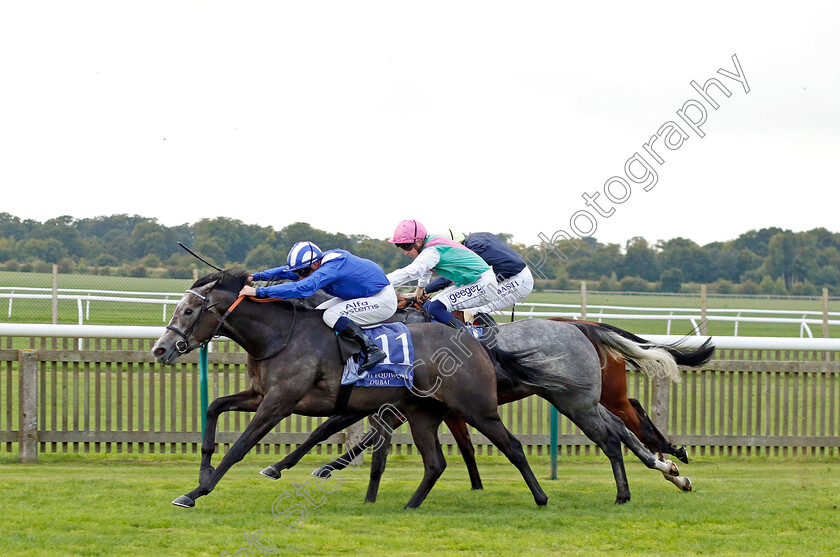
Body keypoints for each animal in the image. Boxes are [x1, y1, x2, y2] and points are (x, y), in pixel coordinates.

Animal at [152, 270, 548, 508]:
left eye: (188, 311)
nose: (161, 349)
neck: (281, 335)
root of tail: (472, 339)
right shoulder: (261, 395)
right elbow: (214, 406)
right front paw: (203, 471)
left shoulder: (280, 402)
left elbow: (241, 447)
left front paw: (195, 492)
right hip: (423, 412)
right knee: (435, 462)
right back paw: (409, 506)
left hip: (476, 407)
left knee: (512, 446)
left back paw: (541, 497)